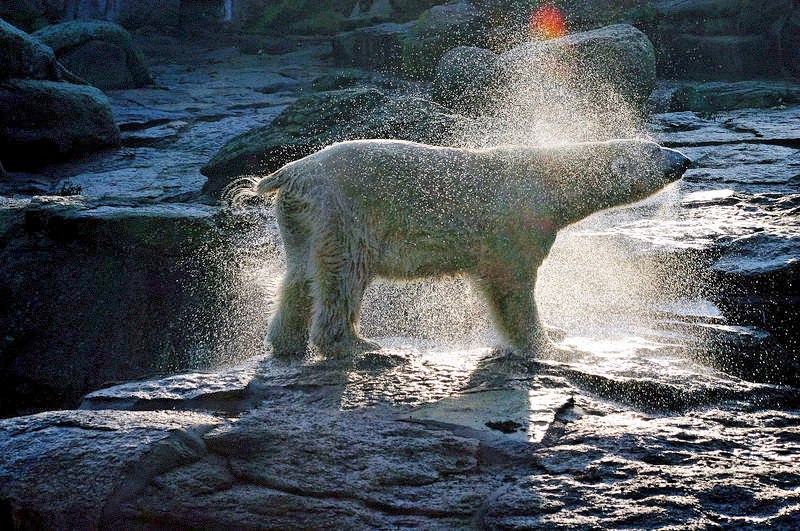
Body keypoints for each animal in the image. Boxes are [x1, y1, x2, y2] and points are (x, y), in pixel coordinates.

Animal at [247, 139, 692, 360]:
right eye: (656, 149)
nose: (685, 159)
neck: (550, 180)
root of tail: (289, 172)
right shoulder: (516, 220)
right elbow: (511, 284)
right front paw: (547, 345)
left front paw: (557, 332)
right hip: (343, 211)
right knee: (345, 273)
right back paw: (359, 345)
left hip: (301, 219)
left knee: (300, 275)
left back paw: (285, 342)